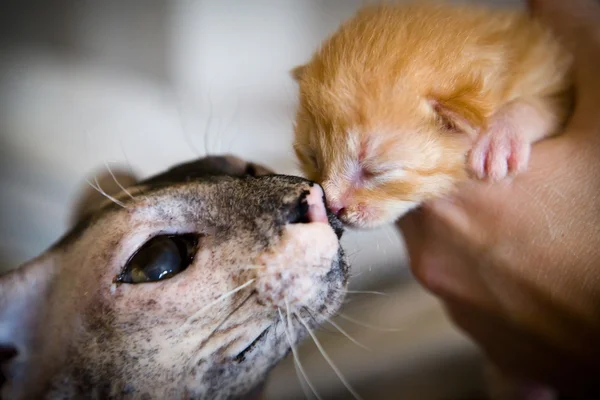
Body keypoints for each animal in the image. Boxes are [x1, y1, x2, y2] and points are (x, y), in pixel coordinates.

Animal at [292, 0, 576, 230]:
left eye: (376, 171)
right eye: (312, 157)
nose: (333, 205)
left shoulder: (553, 81)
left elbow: (539, 105)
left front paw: (500, 138)